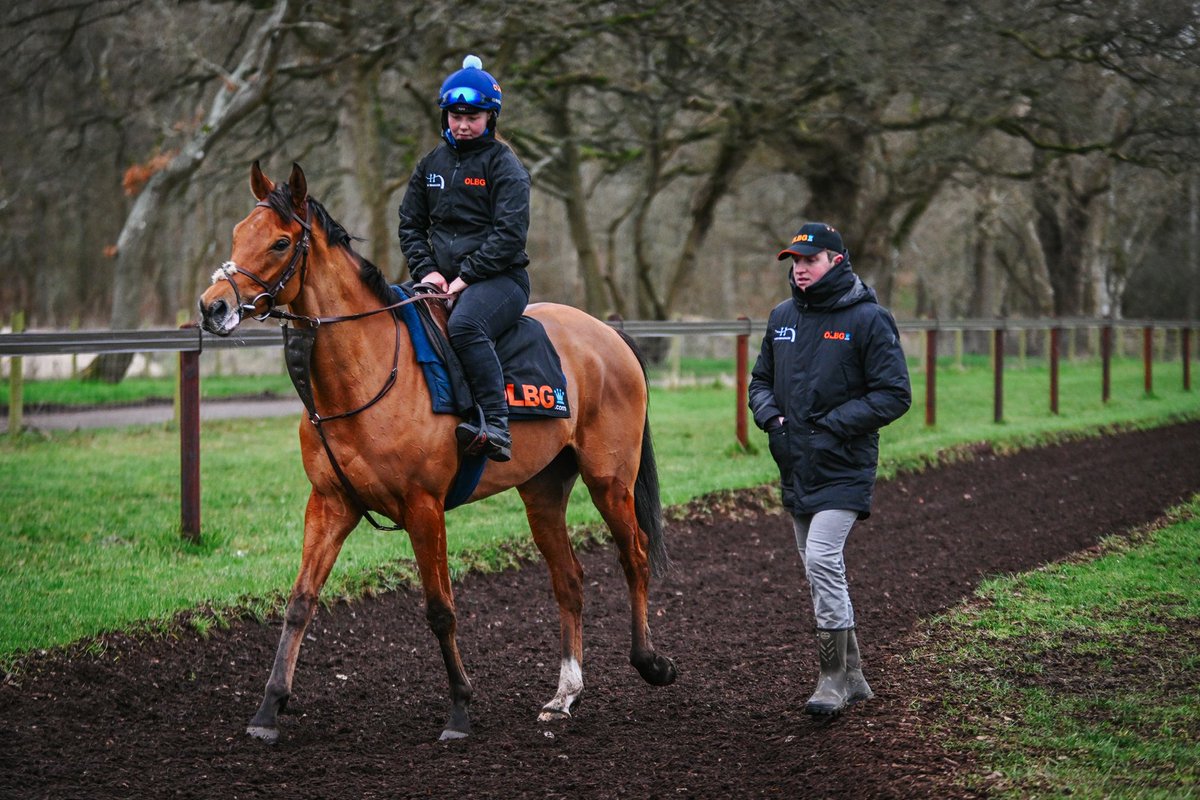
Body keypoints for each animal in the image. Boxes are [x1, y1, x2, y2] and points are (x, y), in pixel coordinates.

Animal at [201, 164, 681, 743]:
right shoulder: (330, 503)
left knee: (634, 556)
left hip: (610, 480)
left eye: (279, 241)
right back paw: (564, 695)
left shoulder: (424, 507)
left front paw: (458, 710)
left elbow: (440, 609)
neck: (368, 371)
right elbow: (299, 604)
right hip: (543, 490)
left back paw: (651, 662)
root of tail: (607, 333)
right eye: (237, 234)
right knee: (568, 579)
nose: (213, 306)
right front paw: (269, 709)